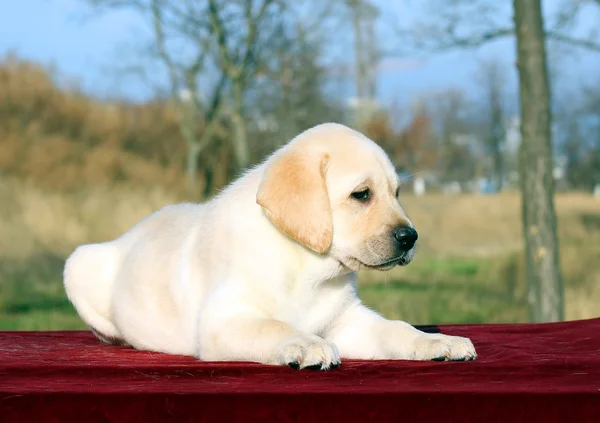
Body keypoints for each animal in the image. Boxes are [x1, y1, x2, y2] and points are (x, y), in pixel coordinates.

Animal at [64, 123, 478, 372]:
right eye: (362, 194)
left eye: (397, 193)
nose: (411, 237)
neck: (308, 267)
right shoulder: (223, 320)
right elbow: (273, 326)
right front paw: (306, 344)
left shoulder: (347, 321)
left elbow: (397, 329)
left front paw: (437, 340)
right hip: (78, 263)